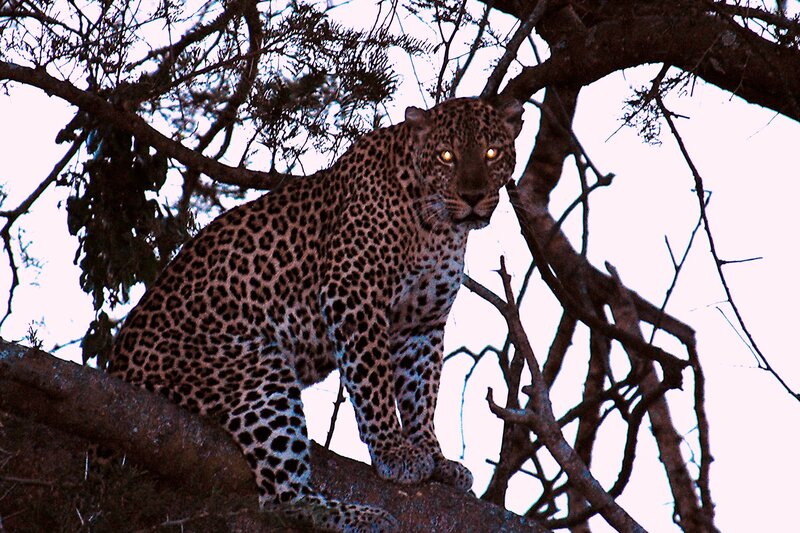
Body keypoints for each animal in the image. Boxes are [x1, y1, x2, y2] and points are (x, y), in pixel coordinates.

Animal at [107, 96, 524, 532]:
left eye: (491, 153)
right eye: (447, 157)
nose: (473, 196)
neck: (438, 229)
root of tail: (118, 366)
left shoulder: (421, 325)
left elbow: (421, 392)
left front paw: (435, 455)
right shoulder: (353, 293)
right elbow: (373, 381)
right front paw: (394, 452)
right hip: (254, 369)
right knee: (281, 497)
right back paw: (365, 516)